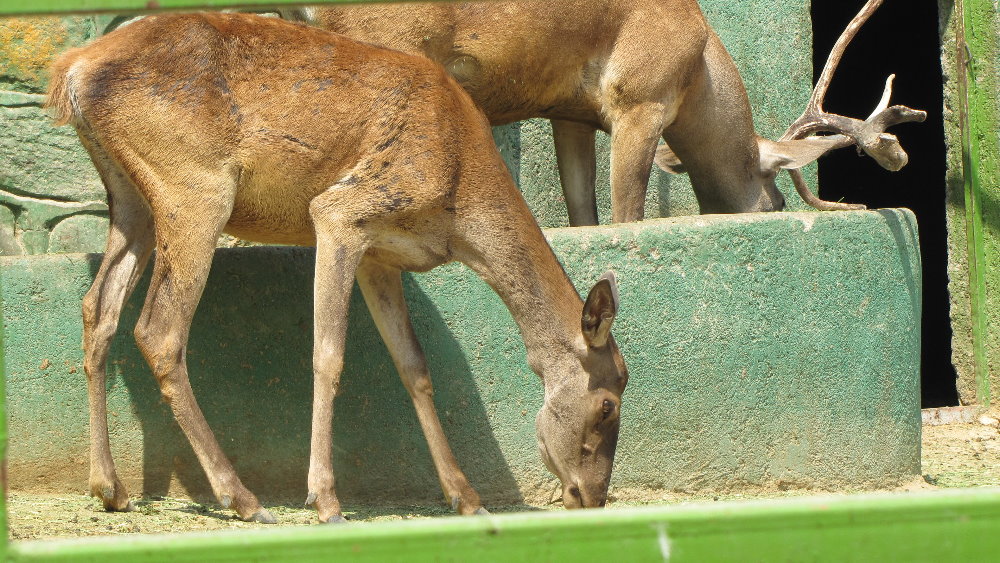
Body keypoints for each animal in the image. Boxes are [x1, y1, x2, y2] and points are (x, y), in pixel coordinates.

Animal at [47, 12, 628, 524]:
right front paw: (325, 501)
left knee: (97, 308)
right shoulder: (340, 212)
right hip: (194, 188)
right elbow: (328, 355)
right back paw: (244, 499)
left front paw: (467, 498)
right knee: (159, 331)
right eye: (607, 404)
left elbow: (414, 366)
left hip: (131, 200)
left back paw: (110, 487)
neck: (458, 201)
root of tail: (72, 70)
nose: (593, 496)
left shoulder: (381, 255)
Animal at [282, 0, 926, 226]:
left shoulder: (569, 110)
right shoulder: (639, 97)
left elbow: (584, 212)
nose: (772, 211)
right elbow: (625, 216)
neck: (698, 73)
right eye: (776, 195)